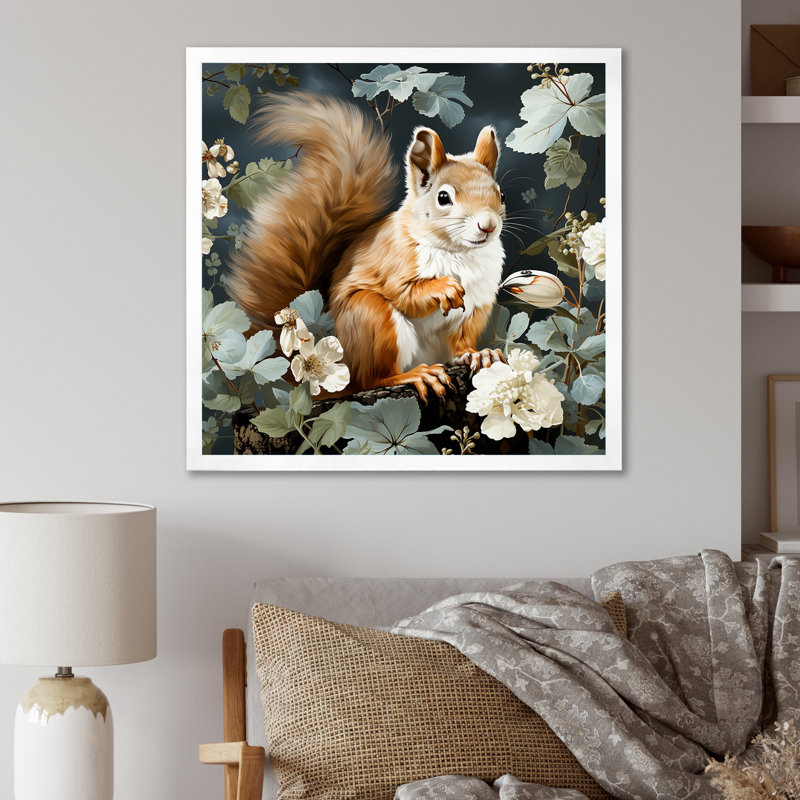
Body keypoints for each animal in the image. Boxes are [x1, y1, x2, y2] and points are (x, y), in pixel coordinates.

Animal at [226, 91, 506, 400]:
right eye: (443, 197)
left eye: (501, 195)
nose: (488, 225)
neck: (459, 253)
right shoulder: (395, 260)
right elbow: (405, 294)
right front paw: (443, 288)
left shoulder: (477, 304)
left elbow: (461, 342)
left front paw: (478, 355)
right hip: (372, 319)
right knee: (371, 379)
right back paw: (415, 375)